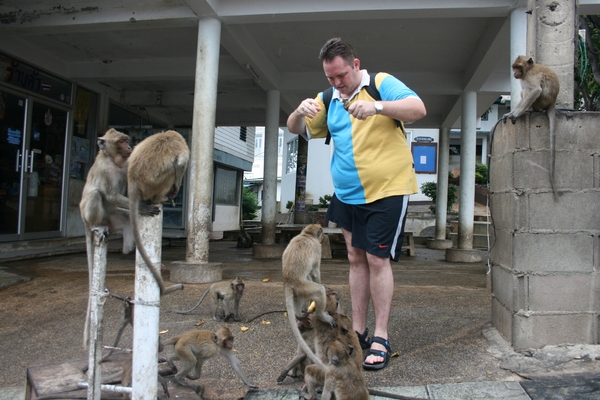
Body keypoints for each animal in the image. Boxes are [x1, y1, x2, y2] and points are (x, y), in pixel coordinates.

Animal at [79, 127, 161, 346]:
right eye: (121, 141)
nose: (129, 146)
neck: (114, 160)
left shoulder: (125, 164)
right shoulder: (105, 169)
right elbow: (110, 194)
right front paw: (143, 206)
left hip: (115, 218)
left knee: (126, 217)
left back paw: (129, 248)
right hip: (90, 214)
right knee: (96, 195)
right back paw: (98, 227)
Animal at [127, 130, 190, 296]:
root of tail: (133, 180)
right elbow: (180, 164)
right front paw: (175, 190)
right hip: (154, 184)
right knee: (171, 171)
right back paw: (162, 198)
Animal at [504, 55, 560, 200]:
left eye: (518, 67)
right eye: (514, 67)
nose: (515, 73)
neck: (529, 69)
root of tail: (552, 102)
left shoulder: (530, 76)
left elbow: (535, 90)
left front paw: (516, 114)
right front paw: (511, 113)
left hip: (540, 102)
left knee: (528, 91)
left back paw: (528, 111)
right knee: (524, 91)